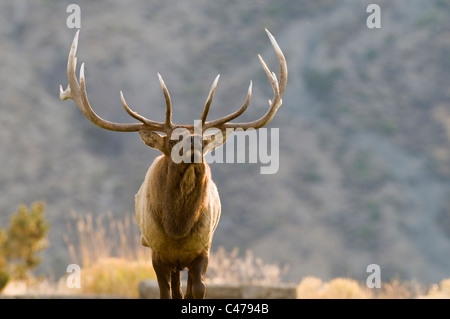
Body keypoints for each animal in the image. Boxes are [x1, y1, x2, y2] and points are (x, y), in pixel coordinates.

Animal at [59, 28, 286, 300]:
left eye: (204, 139)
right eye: (173, 138)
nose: (195, 145)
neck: (177, 231)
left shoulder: (203, 250)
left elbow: (198, 289)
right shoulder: (157, 253)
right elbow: (164, 292)